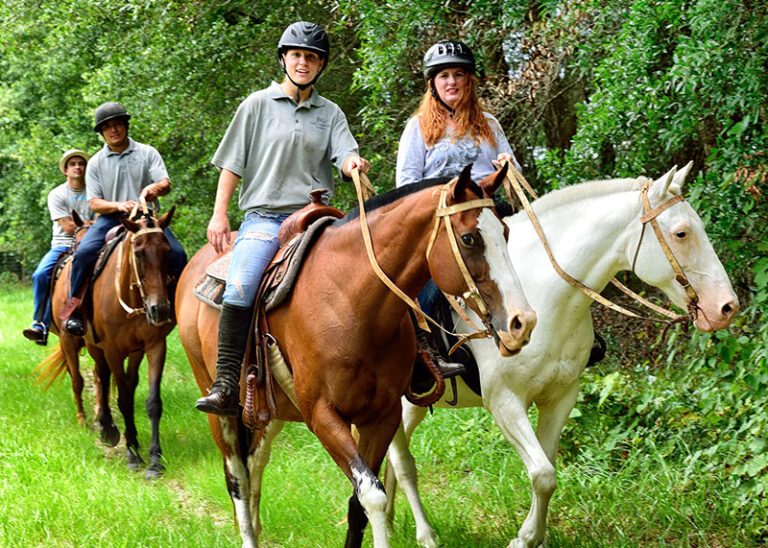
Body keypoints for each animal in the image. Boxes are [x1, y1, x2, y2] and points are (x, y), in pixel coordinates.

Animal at [42, 203, 177, 478]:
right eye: (139, 253)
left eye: (167, 251)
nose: (160, 310)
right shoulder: (112, 350)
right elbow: (123, 400)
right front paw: (133, 453)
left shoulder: (153, 347)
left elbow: (152, 401)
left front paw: (155, 460)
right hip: (80, 343)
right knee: (86, 380)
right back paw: (96, 424)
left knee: (107, 379)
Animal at [176, 167, 536, 548]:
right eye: (468, 239)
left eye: (505, 233)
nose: (522, 321)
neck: (350, 301)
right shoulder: (322, 416)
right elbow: (372, 495)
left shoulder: (382, 415)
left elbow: (358, 502)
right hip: (221, 412)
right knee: (238, 479)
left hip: (266, 410)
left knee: (256, 460)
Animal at [388, 164, 740, 548]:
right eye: (681, 233)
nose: (727, 307)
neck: (542, 295)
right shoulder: (505, 402)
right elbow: (542, 474)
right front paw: (524, 539)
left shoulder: (560, 397)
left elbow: (548, 471)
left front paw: (536, 536)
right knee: (402, 463)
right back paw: (424, 534)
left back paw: (388, 519)